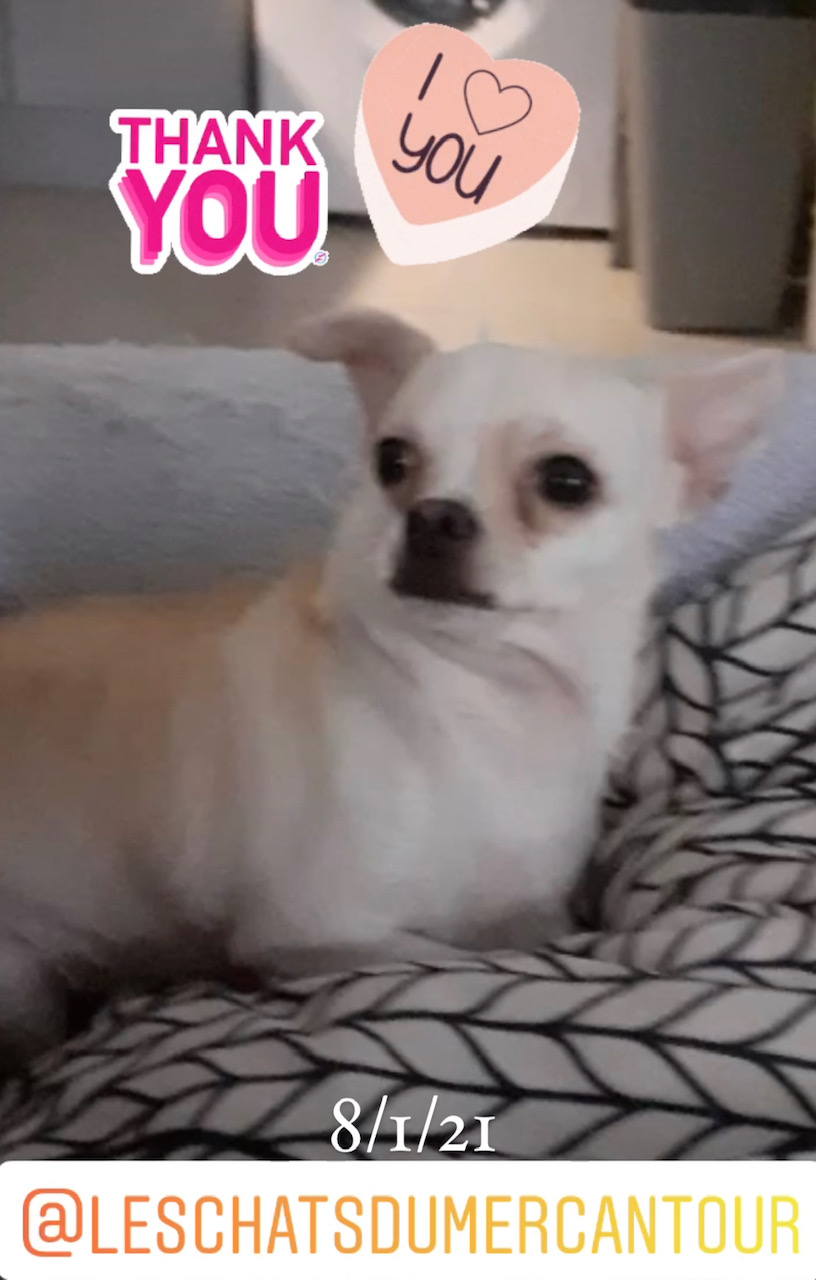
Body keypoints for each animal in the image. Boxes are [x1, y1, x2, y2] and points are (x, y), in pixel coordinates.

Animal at [0, 310, 781, 1060]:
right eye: (392, 460)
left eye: (567, 481)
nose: (434, 514)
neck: (483, 704)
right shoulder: (313, 932)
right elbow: (440, 958)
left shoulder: (526, 906)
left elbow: (535, 932)